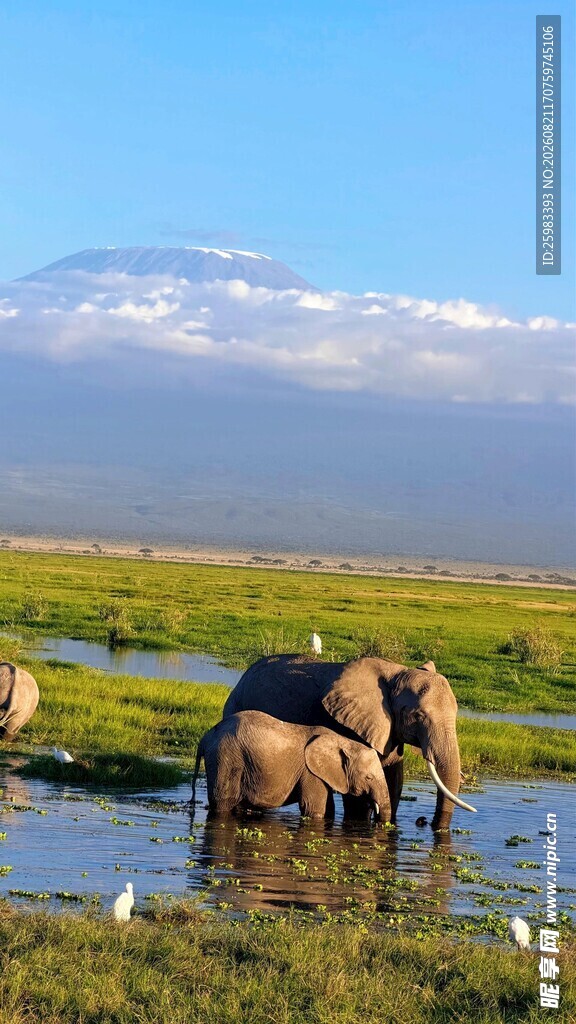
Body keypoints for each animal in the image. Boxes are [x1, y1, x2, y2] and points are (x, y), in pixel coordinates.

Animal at [192, 710, 389, 820]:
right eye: (368, 777)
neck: (343, 741)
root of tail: (206, 737)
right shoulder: (310, 772)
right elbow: (315, 810)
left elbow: (328, 811)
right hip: (225, 757)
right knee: (223, 802)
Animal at [223, 655, 476, 830]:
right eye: (418, 716)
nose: (424, 822)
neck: (396, 673)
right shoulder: (347, 723)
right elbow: (357, 796)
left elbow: (394, 780)